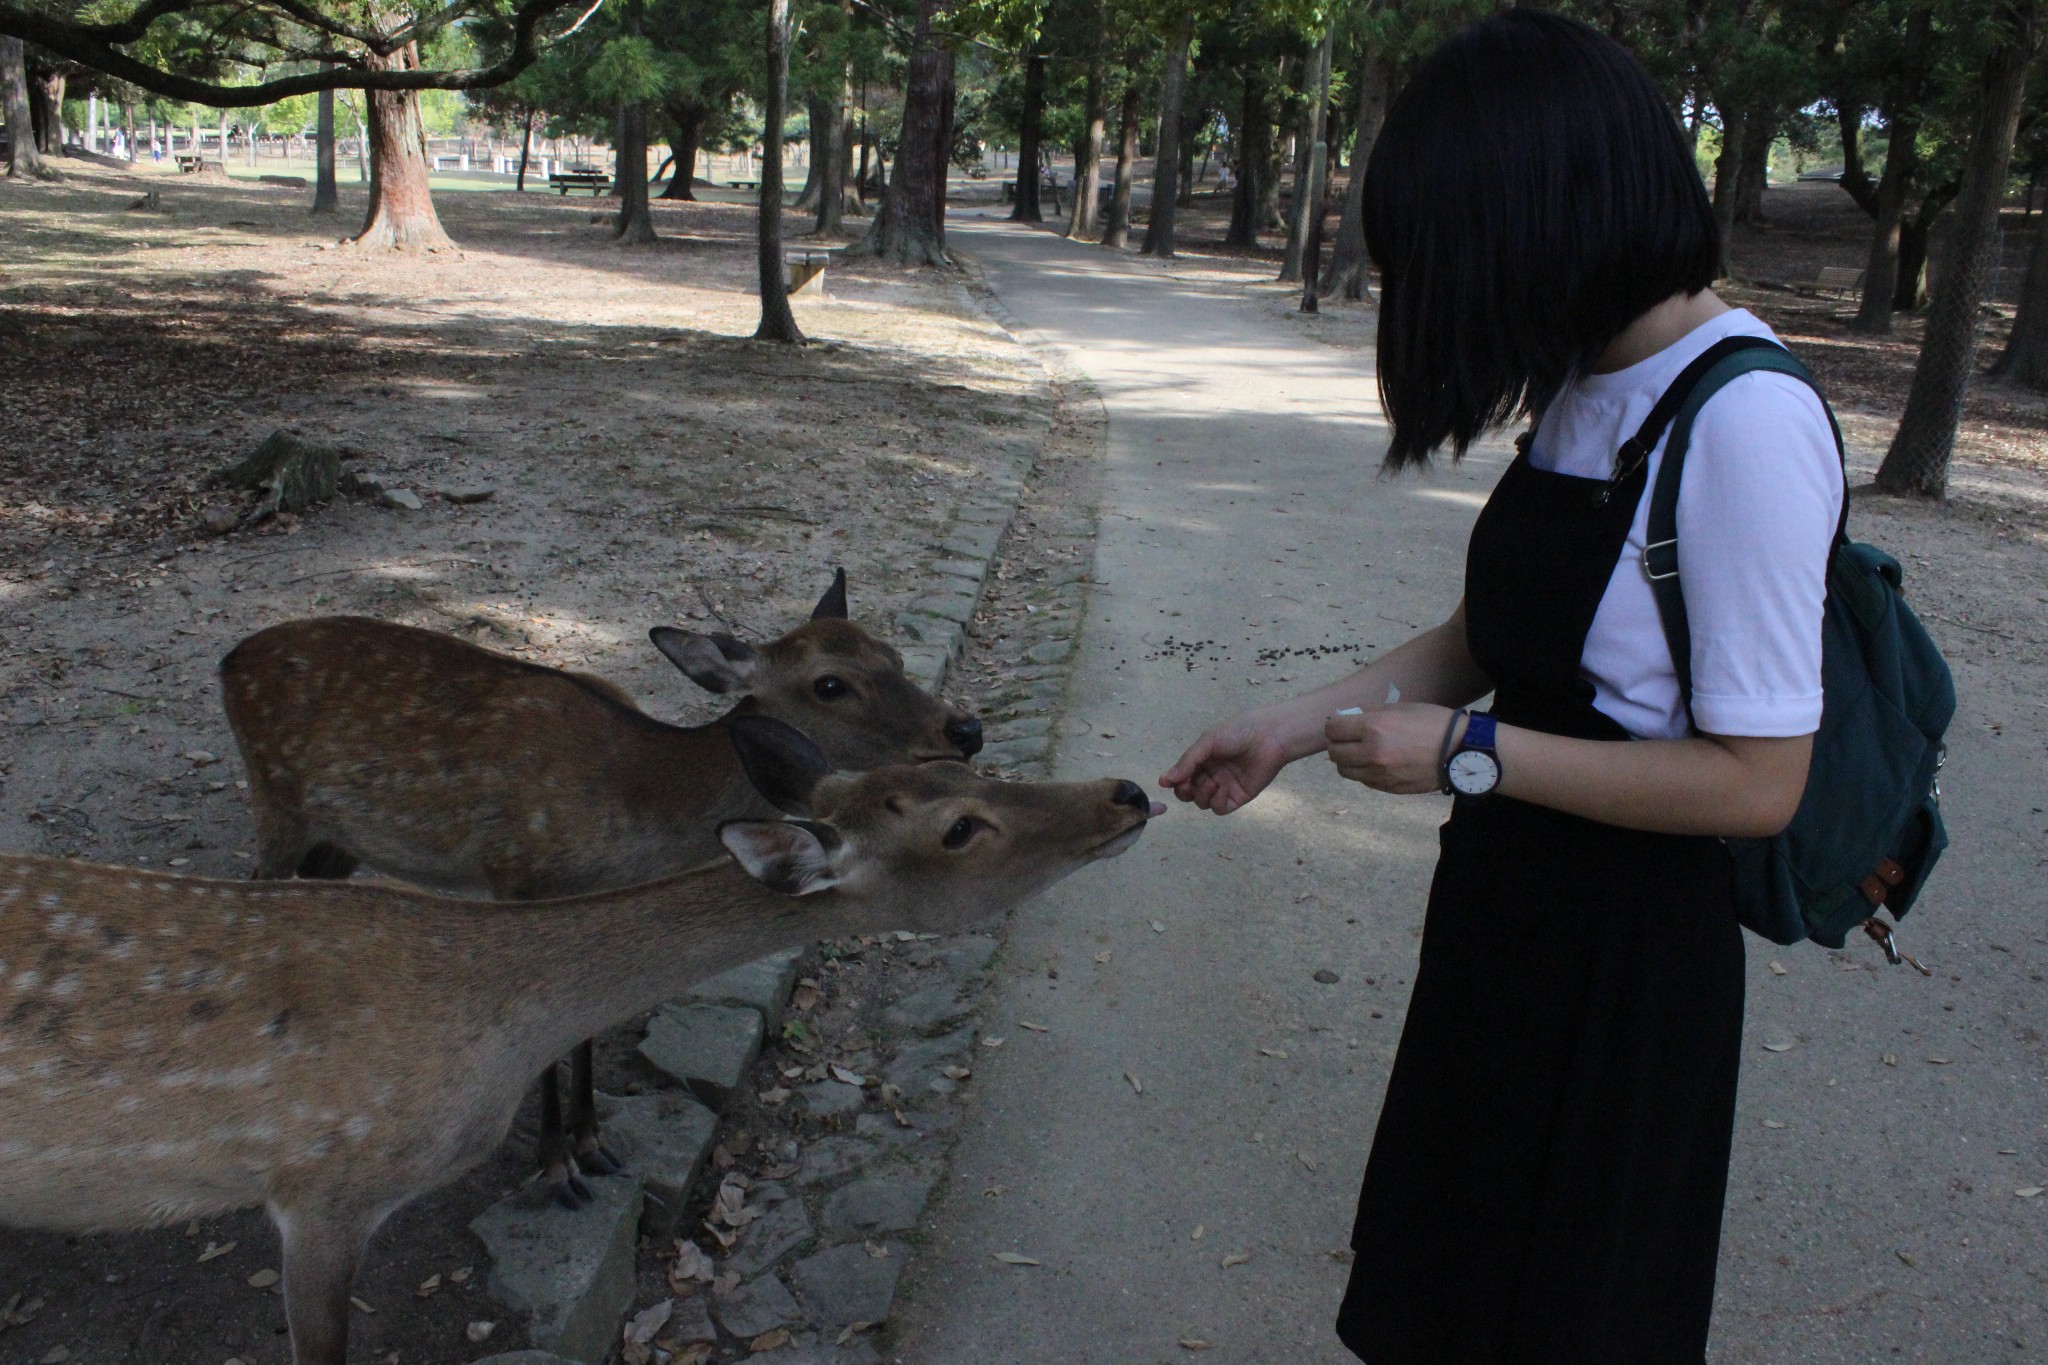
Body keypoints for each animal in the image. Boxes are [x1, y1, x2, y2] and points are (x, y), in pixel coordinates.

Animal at [218, 573, 983, 1203]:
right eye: (829, 683)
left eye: (892, 653)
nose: (966, 728)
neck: (637, 808)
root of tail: (228, 662)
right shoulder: (520, 874)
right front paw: (556, 1168)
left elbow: (585, 1029)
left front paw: (594, 1145)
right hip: (275, 799)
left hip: (341, 839)